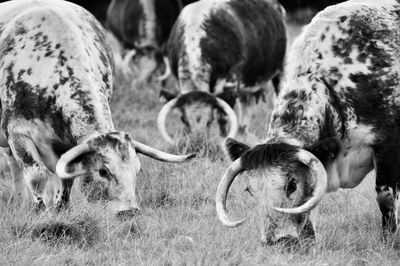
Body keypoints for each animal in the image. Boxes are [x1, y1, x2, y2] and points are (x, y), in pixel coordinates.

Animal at [0, 0, 195, 215]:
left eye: (137, 170)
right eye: (103, 171)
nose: (129, 211)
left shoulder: (65, 145)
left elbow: (65, 178)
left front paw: (60, 209)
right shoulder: (17, 133)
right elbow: (36, 175)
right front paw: (40, 210)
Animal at [157, 0, 288, 145]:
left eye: (209, 120)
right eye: (184, 119)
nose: (198, 141)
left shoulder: (231, 83)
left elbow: (223, 116)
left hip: (281, 70)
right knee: (245, 105)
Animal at [216, 0, 400, 246]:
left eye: (292, 185)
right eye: (249, 190)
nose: (276, 241)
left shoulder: (388, 147)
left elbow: (385, 197)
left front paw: (389, 239)